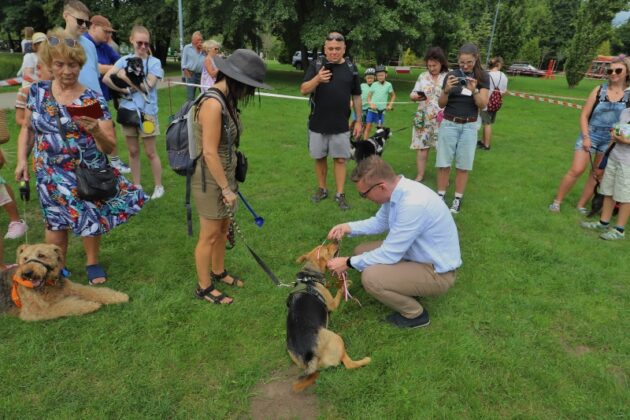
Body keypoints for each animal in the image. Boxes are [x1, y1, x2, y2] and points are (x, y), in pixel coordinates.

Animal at [0, 243, 130, 322]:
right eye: (25, 258)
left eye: (41, 255)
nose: (27, 273)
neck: (49, 285)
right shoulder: (34, 311)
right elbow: (66, 305)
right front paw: (90, 305)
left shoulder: (73, 287)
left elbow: (95, 291)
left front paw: (119, 296)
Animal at [286, 241, 370, 392]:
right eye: (326, 248)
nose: (336, 240)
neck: (309, 276)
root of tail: (309, 357)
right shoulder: (332, 304)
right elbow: (339, 292)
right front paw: (344, 285)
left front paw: (338, 281)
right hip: (336, 338)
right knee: (348, 364)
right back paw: (365, 360)